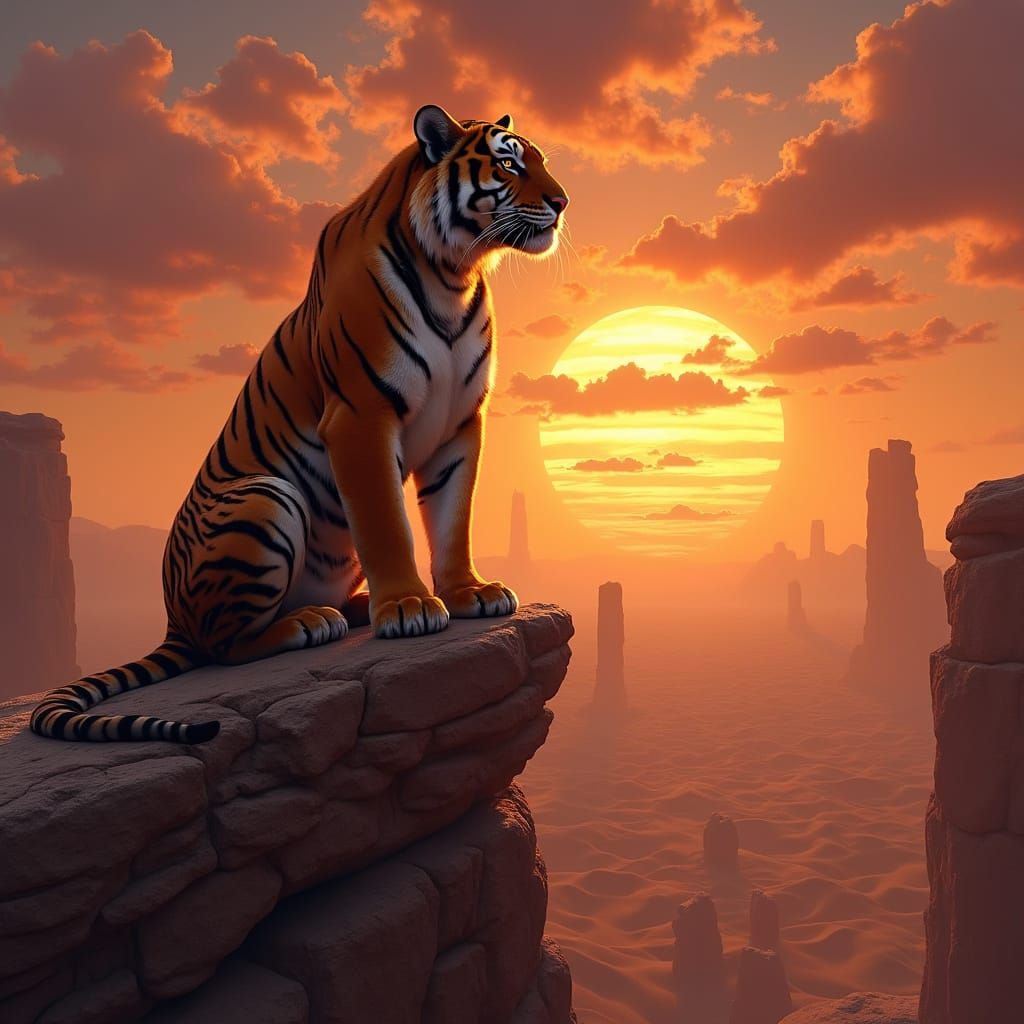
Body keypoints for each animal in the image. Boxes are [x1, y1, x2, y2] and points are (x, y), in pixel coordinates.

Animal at [30, 104, 568, 744]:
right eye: (509, 164)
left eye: (540, 160)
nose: (563, 201)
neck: (453, 272)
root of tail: (171, 620)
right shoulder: (360, 415)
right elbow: (387, 524)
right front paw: (409, 607)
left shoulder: (461, 422)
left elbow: (451, 516)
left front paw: (465, 592)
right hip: (265, 498)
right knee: (223, 645)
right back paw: (312, 622)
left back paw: (353, 608)